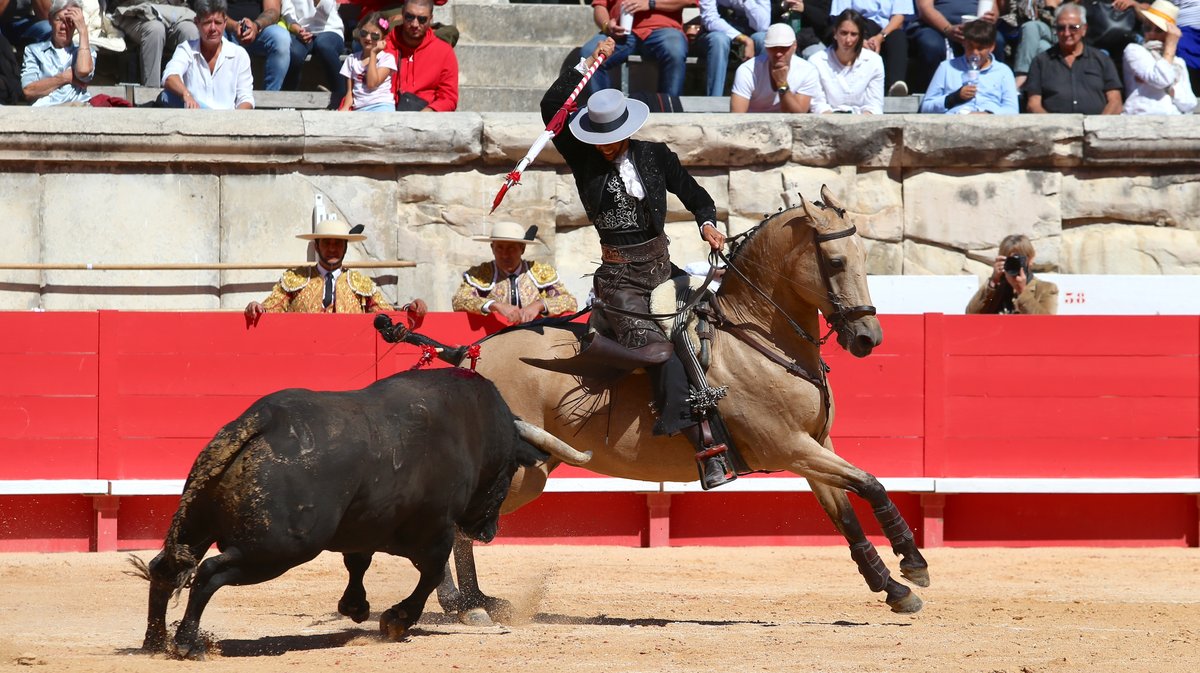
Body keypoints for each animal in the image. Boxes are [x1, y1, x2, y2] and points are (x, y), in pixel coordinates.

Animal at [138, 367, 588, 657]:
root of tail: (259, 420)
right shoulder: (435, 529)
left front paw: (356, 607)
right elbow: (430, 574)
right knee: (209, 573)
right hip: (277, 549)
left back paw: (155, 642)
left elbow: (358, 562)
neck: (471, 429)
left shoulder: (366, 525)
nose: (488, 531)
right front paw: (396, 620)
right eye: (510, 467)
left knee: (164, 569)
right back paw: (187, 643)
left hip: (197, 523)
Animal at [372, 183, 926, 623]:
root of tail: (470, 355)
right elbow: (871, 483)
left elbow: (846, 515)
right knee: (455, 525)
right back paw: (463, 606)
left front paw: (893, 588)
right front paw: (914, 564)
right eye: (835, 261)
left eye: (864, 259)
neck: (753, 334)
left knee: (463, 527)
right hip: (524, 473)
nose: (867, 337)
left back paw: (476, 603)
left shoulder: (816, 447)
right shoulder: (787, 446)